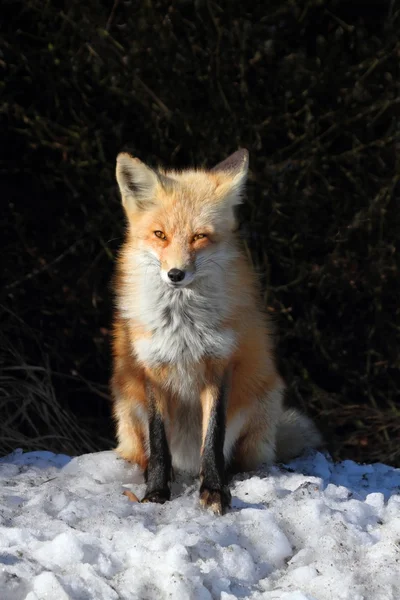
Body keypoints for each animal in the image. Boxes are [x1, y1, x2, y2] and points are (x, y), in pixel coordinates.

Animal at [110, 148, 322, 512]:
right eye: (160, 235)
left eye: (199, 236)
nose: (176, 274)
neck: (181, 323)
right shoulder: (152, 369)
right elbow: (158, 442)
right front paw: (155, 492)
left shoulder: (219, 365)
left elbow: (213, 437)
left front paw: (214, 491)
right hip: (126, 399)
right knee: (144, 452)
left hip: (264, 397)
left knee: (236, 456)